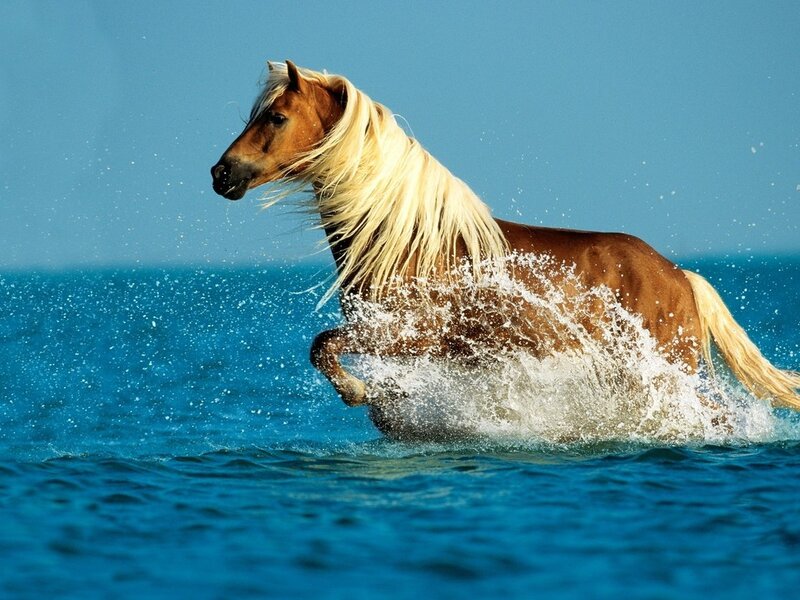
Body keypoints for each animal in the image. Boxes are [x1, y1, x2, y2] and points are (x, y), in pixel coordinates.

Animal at [210, 60, 800, 432]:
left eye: (277, 117)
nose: (222, 174)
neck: (406, 242)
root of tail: (680, 276)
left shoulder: (408, 335)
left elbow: (323, 347)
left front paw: (360, 393)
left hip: (664, 372)